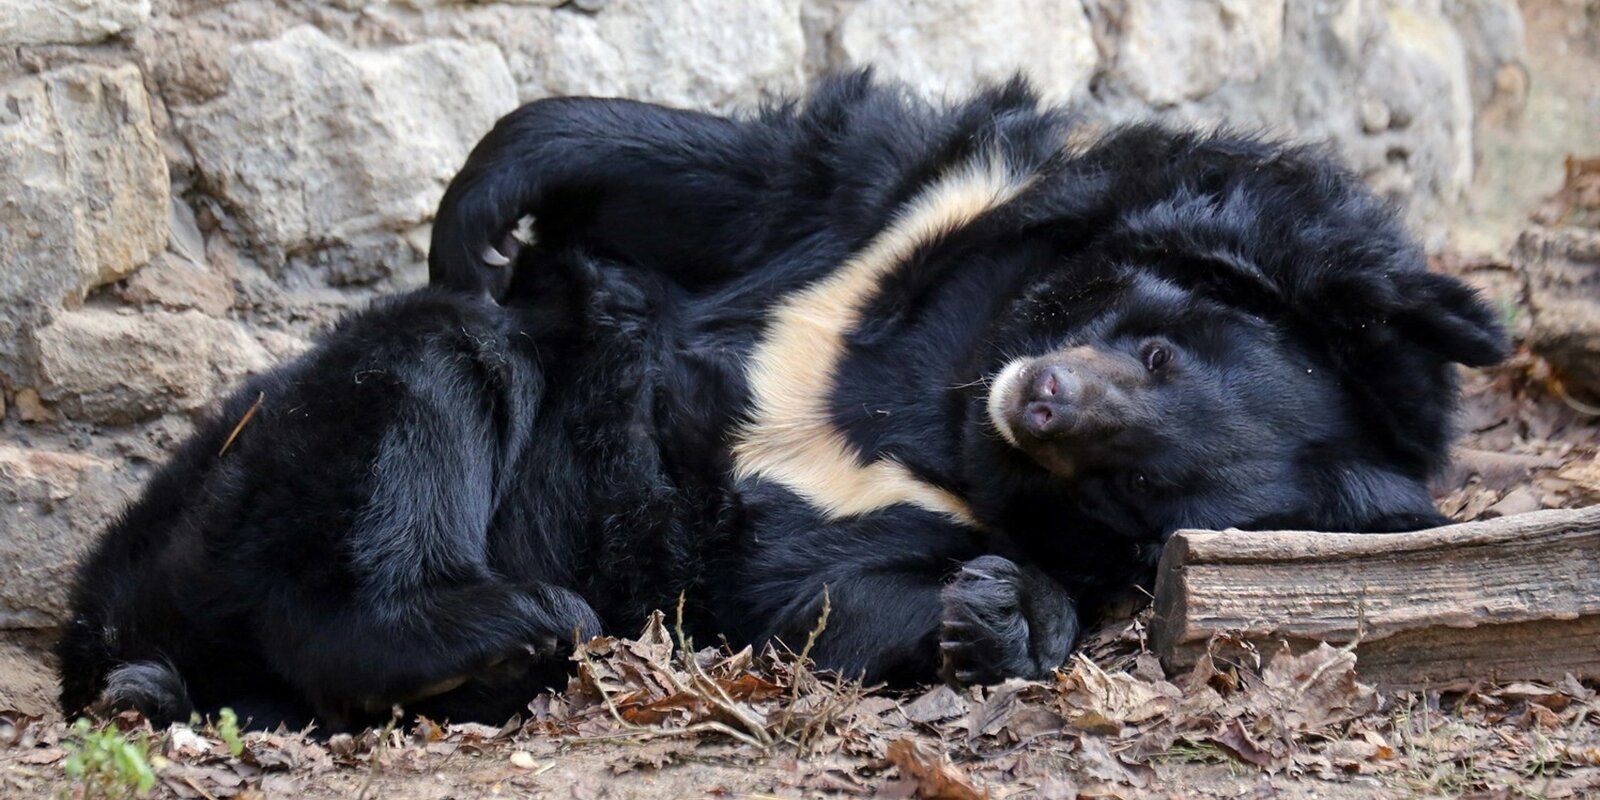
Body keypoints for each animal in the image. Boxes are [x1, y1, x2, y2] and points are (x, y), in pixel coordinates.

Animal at [62, 75, 1504, 732]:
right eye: (1157, 349)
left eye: (1133, 490)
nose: (1043, 404)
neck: (940, 391)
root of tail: (118, 628)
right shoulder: (912, 212)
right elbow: (745, 176)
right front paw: (477, 215)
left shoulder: (849, 519)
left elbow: (813, 591)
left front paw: (993, 614)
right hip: (224, 493)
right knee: (428, 372)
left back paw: (496, 636)